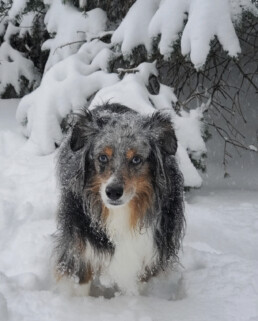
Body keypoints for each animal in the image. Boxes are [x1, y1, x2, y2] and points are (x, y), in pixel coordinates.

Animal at [53, 103, 184, 296]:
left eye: (136, 159)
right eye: (102, 157)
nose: (113, 192)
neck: (121, 214)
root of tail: (109, 104)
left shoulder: (147, 257)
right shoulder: (79, 250)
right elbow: (81, 283)